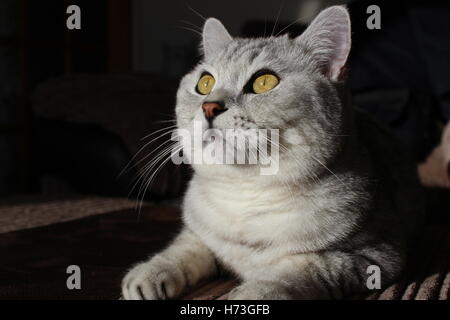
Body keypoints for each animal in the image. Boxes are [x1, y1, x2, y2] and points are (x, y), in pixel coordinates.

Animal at [121, 5, 424, 300]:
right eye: (204, 83)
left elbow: (298, 269)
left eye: (264, 82)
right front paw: (150, 273)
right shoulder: (200, 231)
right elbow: (185, 247)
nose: (209, 106)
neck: (245, 194)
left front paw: (250, 293)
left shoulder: (374, 255)